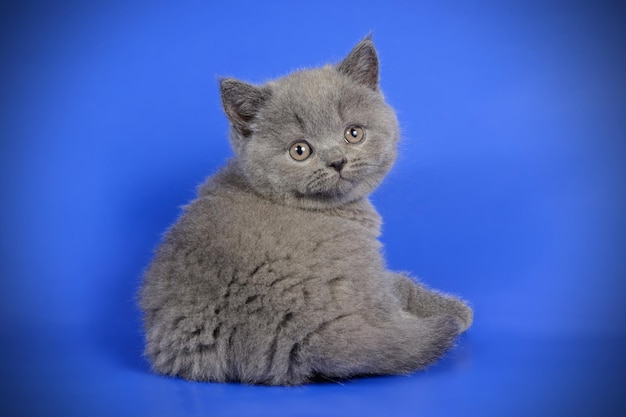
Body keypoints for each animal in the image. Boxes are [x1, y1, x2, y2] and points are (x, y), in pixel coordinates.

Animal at [139, 37, 470, 386]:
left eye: (353, 133)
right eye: (300, 150)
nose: (337, 161)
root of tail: (301, 329)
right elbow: (401, 283)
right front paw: (457, 309)